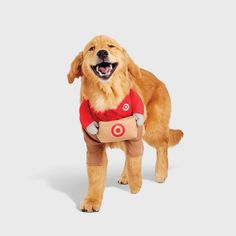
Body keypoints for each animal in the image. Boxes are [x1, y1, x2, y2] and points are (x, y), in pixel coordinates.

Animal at [67, 35, 183, 212]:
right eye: (91, 48)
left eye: (111, 46)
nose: (102, 52)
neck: (106, 96)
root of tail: (159, 80)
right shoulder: (94, 145)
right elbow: (95, 177)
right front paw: (92, 200)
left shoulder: (135, 133)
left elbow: (135, 164)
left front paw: (136, 186)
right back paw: (125, 176)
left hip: (153, 129)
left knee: (162, 145)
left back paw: (161, 173)